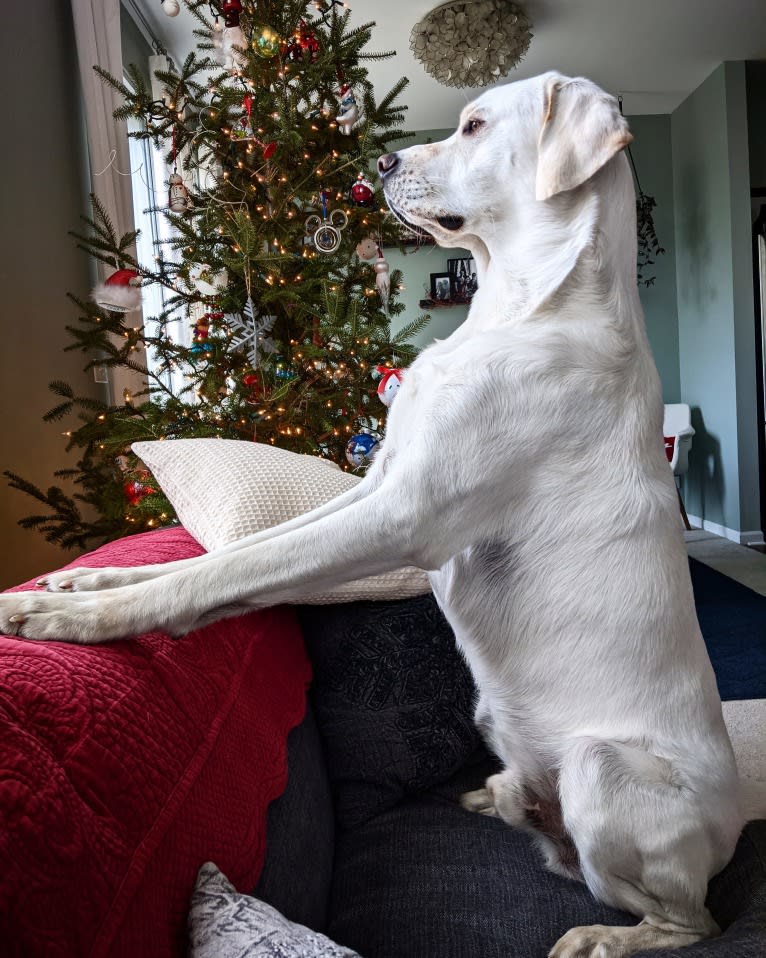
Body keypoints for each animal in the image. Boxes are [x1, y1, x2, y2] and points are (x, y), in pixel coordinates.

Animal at [1, 71, 766, 956]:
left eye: (473, 125)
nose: (382, 161)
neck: (530, 305)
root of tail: (730, 837)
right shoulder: (375, 485)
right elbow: (230, 555)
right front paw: (86, 587)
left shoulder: (403, 516)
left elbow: (231, 572)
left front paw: (67, 622)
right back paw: (500, 796)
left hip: (603, 771)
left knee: (691, 918)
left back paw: (604, 936)